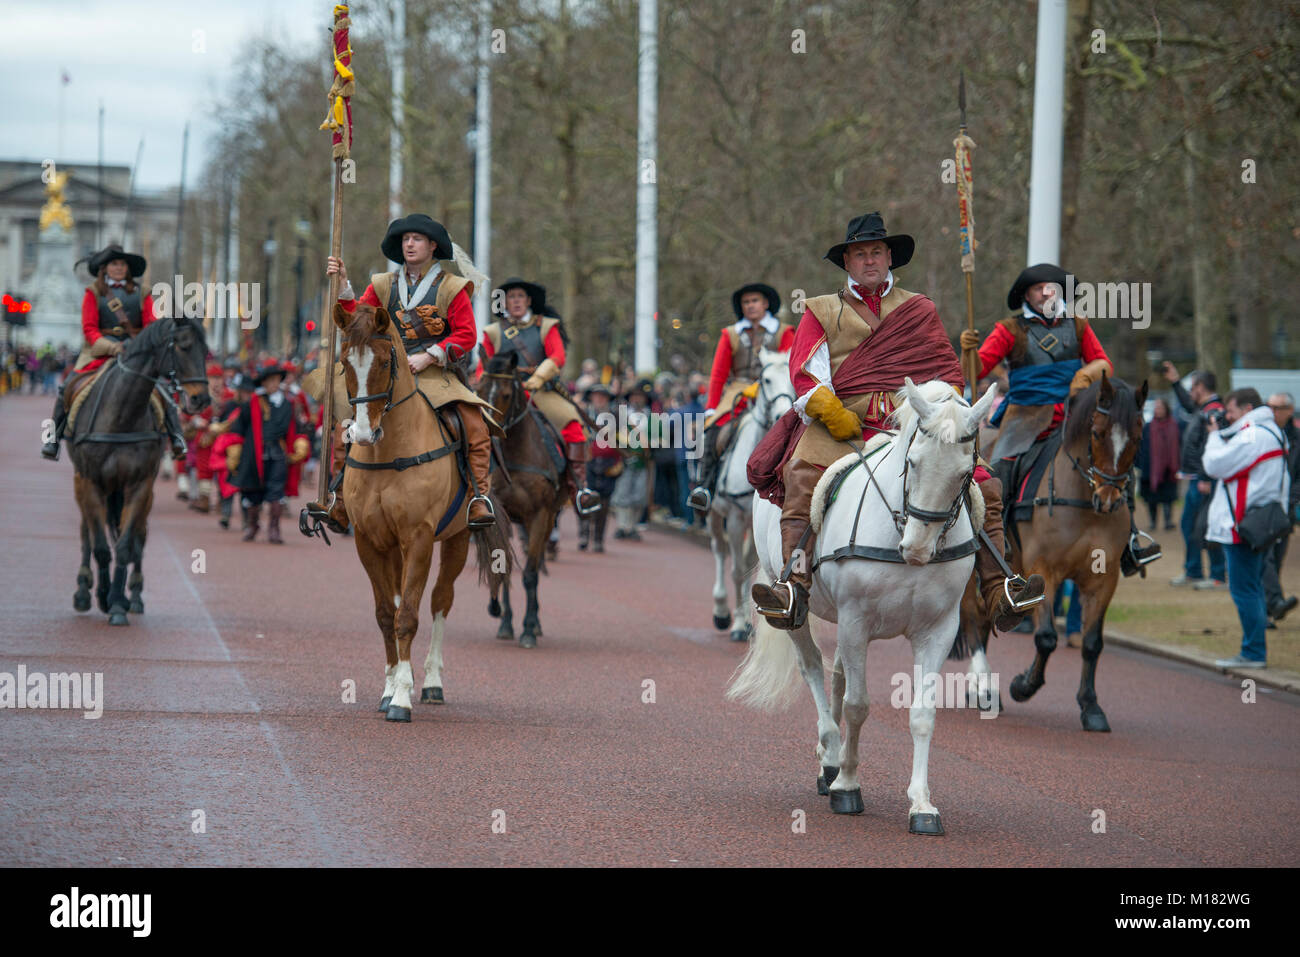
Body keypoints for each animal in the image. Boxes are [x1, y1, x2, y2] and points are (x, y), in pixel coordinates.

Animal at [335, 302, 512, 722]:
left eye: (385, 361)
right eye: (345, 362)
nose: (363, 434)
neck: (388, 453)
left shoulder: (418, 538)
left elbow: (410, 616)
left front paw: (401, 699)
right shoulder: (369, 542)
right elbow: (388, 614)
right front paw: (391, 688)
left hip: (456, 540)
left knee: (440, 601)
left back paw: (430, 682)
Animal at [475, 351, 572, 650]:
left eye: (506, 394)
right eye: (479, 389)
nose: (486, 431)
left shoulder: (541, 515)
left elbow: (529, 574)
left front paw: (528, 628)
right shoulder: (501, 516)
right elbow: (504, 564)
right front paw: (504, 621)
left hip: (546, 519)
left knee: (536, 564)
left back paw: (536, 623)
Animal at [707, 348, 795, 639]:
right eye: (766, 380)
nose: (781, 415)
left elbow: (746, 568)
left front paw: (744, 622)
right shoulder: (734, 518)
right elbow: (736, 570)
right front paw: (735, 623)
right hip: (714, 514)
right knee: (720, 550)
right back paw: (721, 611)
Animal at [733, 377, 993, 832]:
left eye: (965, 473)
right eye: (914, 462)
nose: (918, 549)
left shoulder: (938, 631)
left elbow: (922, 715)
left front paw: (922, 805)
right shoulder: (857, 621)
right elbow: (857, 706)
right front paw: (848, 785)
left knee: (837, 675)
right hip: (799, 610)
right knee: (814, 668)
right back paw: (831, 759)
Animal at [956, 369, 1149, 728]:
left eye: (1139, 438)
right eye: (1098, 434)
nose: (1109, 499)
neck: (1083, 504)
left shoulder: (1103, 580)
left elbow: (1092, 643)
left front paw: (1091, 706)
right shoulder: (1043, 570)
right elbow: (1046, 637)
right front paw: (1023, 686)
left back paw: (981, 689)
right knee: (973, 617)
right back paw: (985, 686)